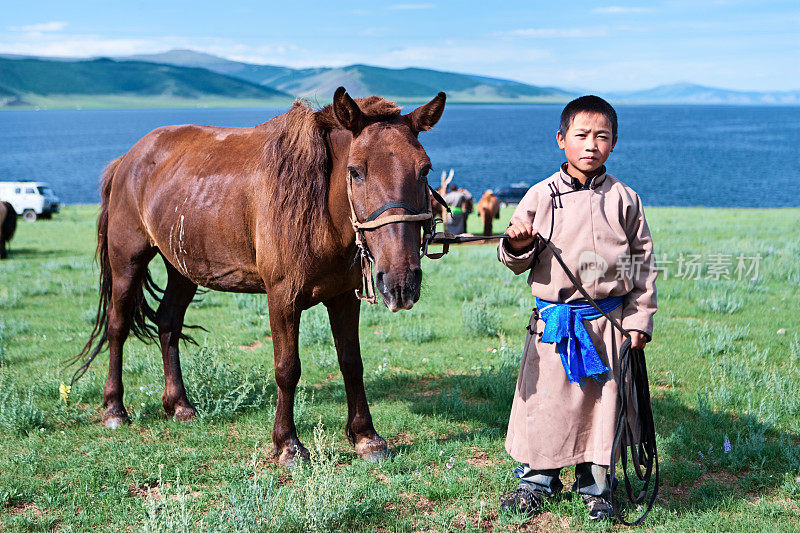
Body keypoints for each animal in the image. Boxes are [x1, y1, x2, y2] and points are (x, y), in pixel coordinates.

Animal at [76, 87, 446, 462]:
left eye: (424, 170)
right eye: (355, 171)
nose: (400, 282)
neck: (318, 212)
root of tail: (128, 158)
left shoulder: (343, 298)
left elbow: (351, 363)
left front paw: (366, 436)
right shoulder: (282, 298)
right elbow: (287, 368)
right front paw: (288, 444)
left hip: (181, 268)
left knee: (168, 323)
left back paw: (179, 405)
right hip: (128, 260)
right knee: (118, 326)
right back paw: (114, 409)